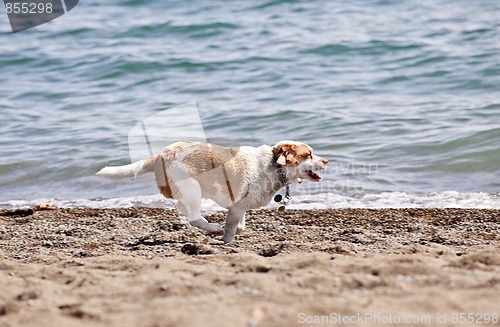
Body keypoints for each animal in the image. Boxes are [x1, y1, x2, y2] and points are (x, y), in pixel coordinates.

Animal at [97, 140, 328, 243]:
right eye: (309, 154)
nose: (326, 161)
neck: (274, 165)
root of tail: (161, 155)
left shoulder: (239, 206)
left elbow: (240, 226)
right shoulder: (237, 208)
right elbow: (231, 230)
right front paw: (226, 241)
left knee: (182, 208)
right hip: (192, 188)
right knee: (193, 217)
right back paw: (212, 227)